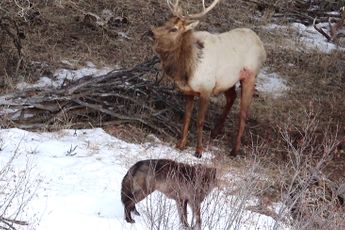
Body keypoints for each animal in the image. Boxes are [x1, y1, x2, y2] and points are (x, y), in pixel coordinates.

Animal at [149, 0, 264, 158]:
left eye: (174, 29)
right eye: (166, 20)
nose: (151, 32)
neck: (187, 70)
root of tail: (261, 45)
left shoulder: (206, 89)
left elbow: (200, 120)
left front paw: (199, 150)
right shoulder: (188, 91)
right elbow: (187, 117)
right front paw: (181, 144)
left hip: (250, 76)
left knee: (243, 113)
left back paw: (234, 150)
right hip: (226, 81)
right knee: (231, 97)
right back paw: (215, 131)